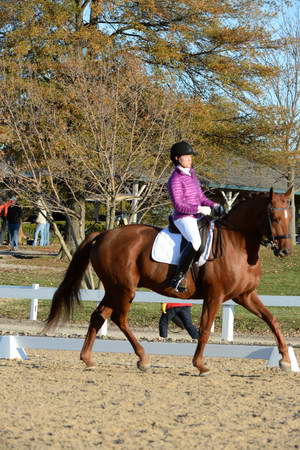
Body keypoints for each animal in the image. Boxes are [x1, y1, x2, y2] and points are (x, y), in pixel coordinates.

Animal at [45, 186, 292, 372]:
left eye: (289, 217)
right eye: (273, 217)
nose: (286, 251)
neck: (237, 243)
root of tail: (104, 234)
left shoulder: (245, 295)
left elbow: (272, 319)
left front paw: (285, 360)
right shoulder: (215, 295)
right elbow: (204, 328)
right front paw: (200, 365)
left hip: (114, 289)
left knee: (99, 315)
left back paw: (88, 359)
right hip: (124, 288)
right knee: (119, 318)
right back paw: (143, 359)